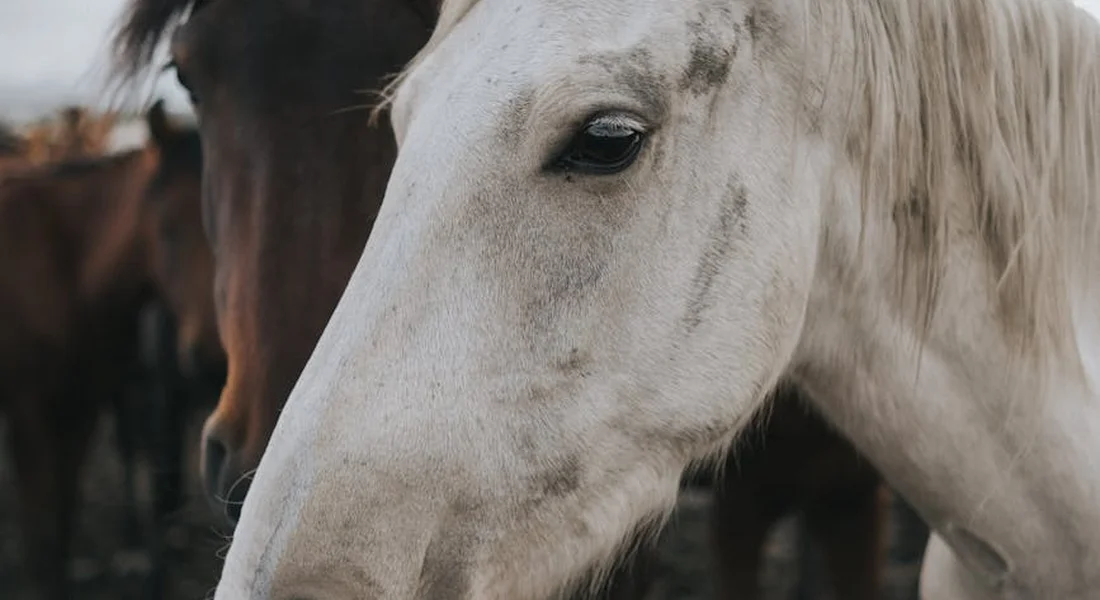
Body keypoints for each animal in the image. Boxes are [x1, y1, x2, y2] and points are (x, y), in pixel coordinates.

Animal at [0, 100, 216, 600]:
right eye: (166, 227)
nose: (212, 361)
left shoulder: (81, 409)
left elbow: (62, 521)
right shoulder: (30, 416)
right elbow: (41, 537)